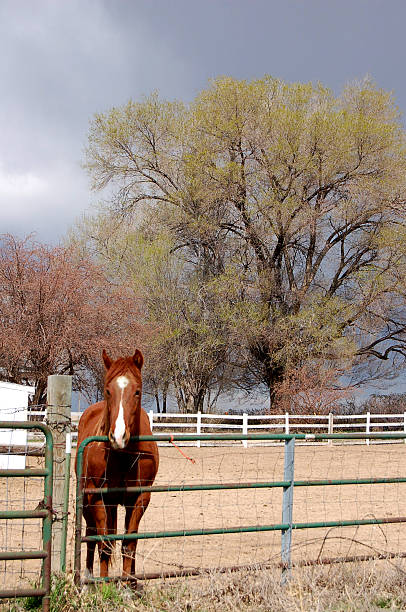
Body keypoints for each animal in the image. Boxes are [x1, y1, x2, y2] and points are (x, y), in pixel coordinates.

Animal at [75, 350, 159, 584]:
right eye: (107, 390)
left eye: (137, 391)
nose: (118, 436)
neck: (123, 456)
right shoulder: (96, 496)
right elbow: (104, 544)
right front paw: (104, 586)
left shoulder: (140, 498)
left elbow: (129, 544)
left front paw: (129, 584)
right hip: (89, 501)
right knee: (91, 535)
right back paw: (88, 580)